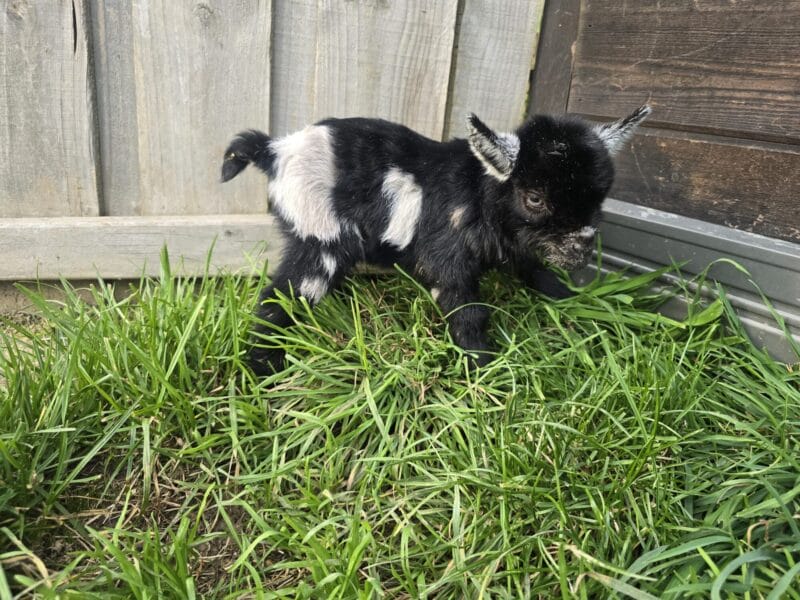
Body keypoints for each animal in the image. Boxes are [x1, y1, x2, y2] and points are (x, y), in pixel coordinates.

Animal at [222, 105, 651, 373]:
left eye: (599, 197)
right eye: (535, 198)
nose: (582, 247)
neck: (480, 189)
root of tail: (275, 150)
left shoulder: (515, 247)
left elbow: (533, 268)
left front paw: (570, 299)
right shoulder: (447, 256)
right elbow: (467, 308)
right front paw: (483, 367)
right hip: (319, 232)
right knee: (285, 294)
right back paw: (261, 365)